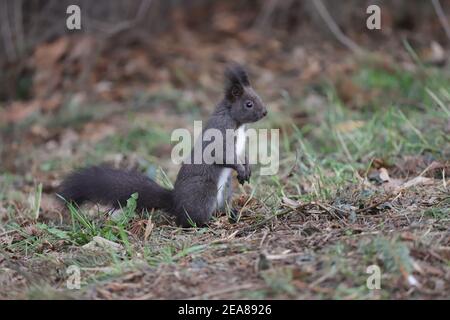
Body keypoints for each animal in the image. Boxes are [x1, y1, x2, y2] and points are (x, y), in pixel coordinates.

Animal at [57, 63, 268, 226]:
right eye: (249, 104)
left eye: (258, 96)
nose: (265, 112)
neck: (238, 123)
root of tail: (175, 202)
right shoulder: (219, 135)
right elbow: (222, 155)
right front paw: (240, 168)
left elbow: (243, 155)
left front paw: (247, 168)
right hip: (203, 192)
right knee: (189, 219)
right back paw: (203, 223)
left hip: (226, 190)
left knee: (221, 207)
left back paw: (231, 213)